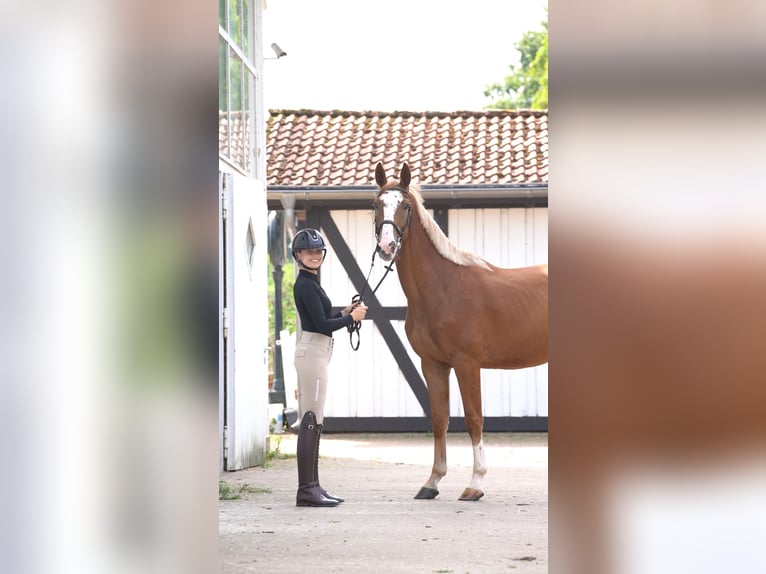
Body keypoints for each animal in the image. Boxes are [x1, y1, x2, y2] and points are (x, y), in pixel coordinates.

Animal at [376, 163, 548, 504]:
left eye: (405, 206)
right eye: (376, 205)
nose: (386, 247)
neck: (443, 288)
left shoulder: (467, 363)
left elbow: (473, 418)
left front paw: (475, 484)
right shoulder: (432, 364)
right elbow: (439, 419)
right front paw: (432, 481)